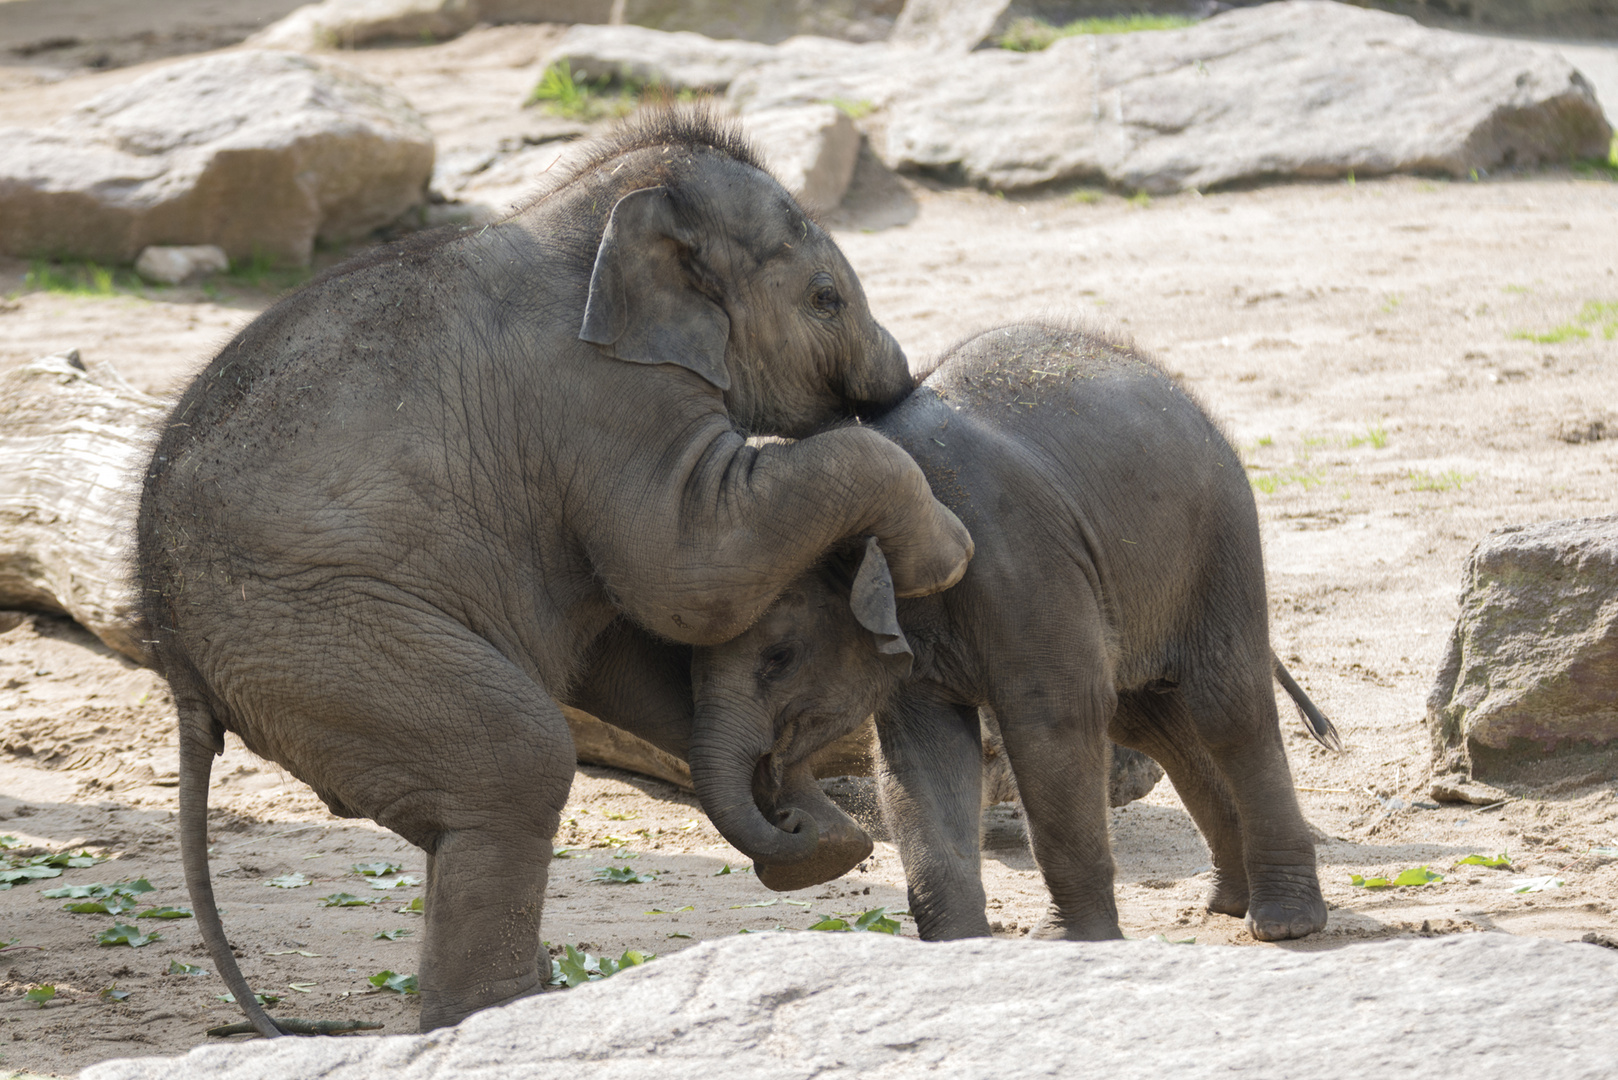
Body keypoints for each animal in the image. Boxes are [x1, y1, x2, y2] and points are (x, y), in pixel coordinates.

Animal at [132, 107, 964, 1029]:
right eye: (825, 297)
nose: (903, 381)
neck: (588, 210)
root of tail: (171, 652)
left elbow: (627, 646)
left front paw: (819, 825)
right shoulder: (603, 398)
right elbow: (684, 574)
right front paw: (946, 555)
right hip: (316, 633)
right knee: (518, 758)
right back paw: (496, 1017)